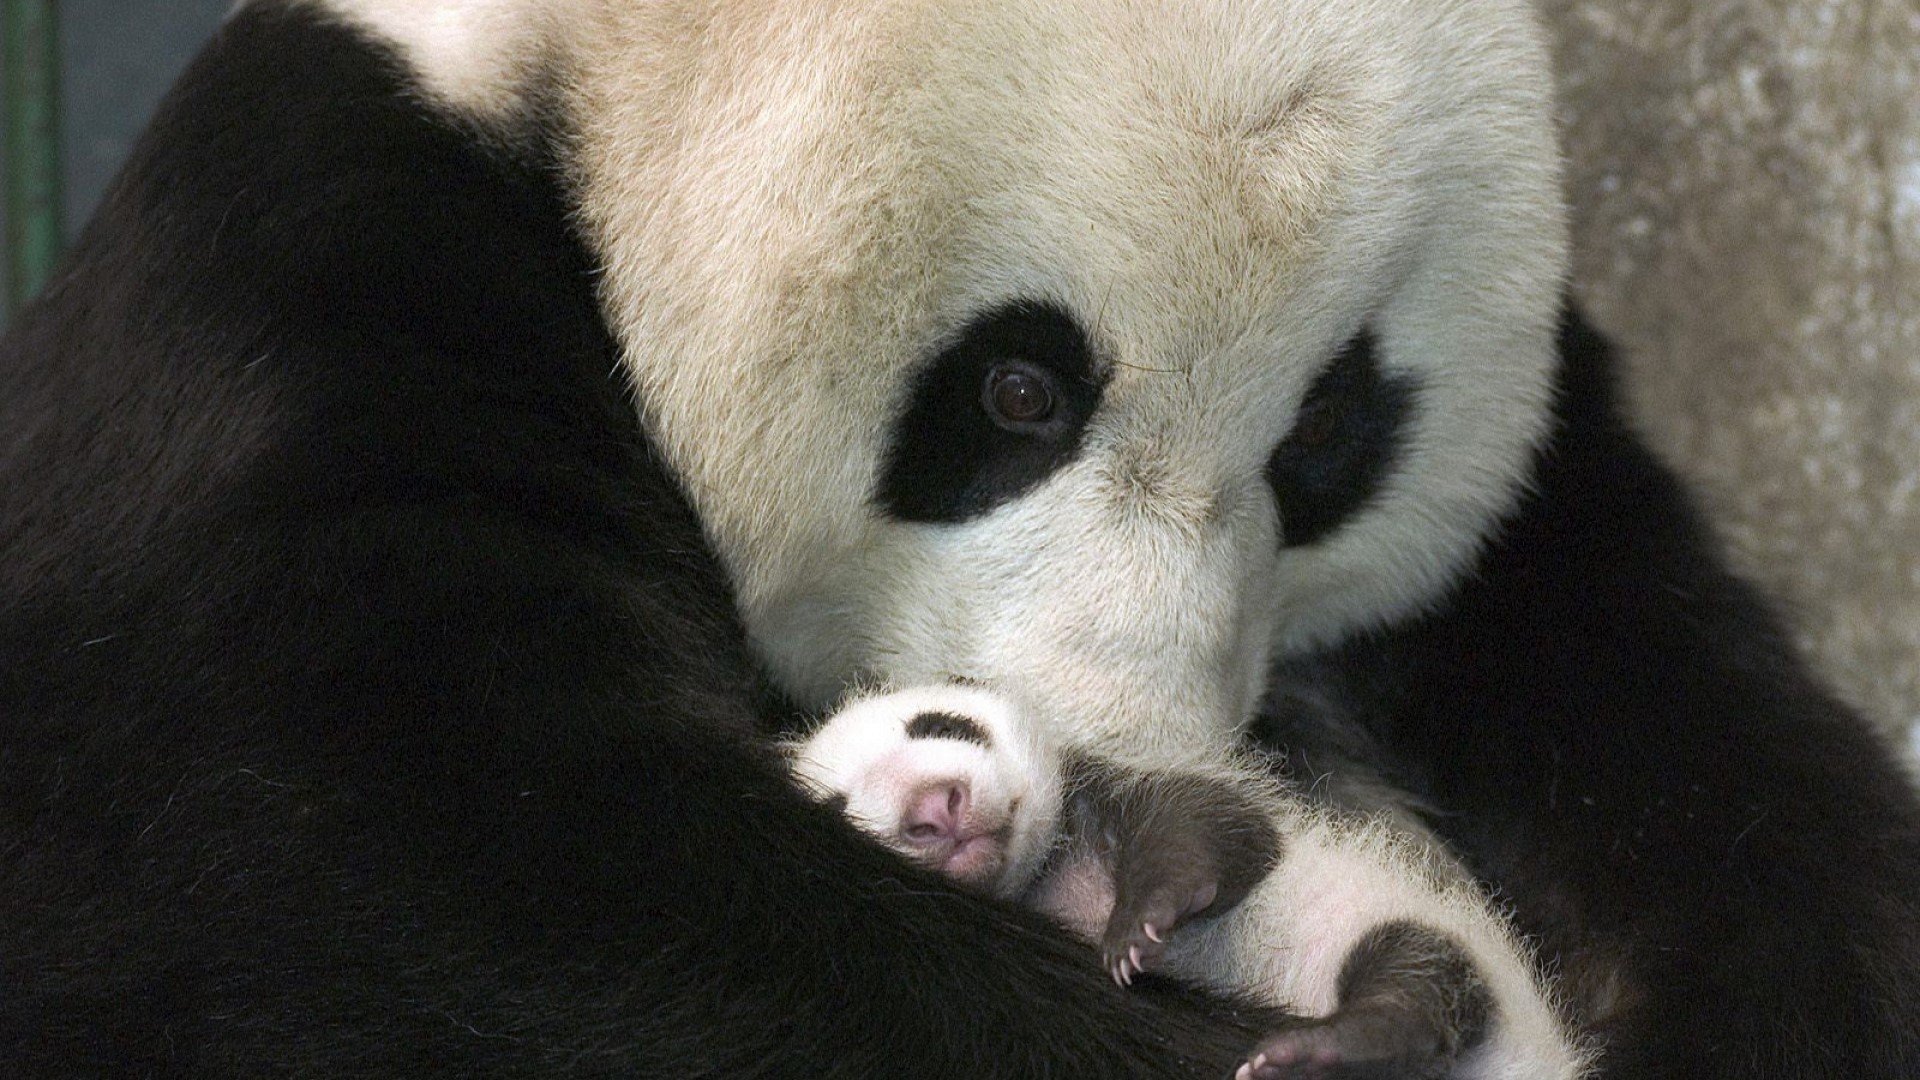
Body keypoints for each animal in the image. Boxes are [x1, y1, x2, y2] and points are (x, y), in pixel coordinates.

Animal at [1, 0, 1916, 1077]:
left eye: (1328, 432)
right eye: (1018, 390)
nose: (1126, 746)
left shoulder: (1550, 512)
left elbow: (1721, 772)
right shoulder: (305, 296)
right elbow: (388, 880)